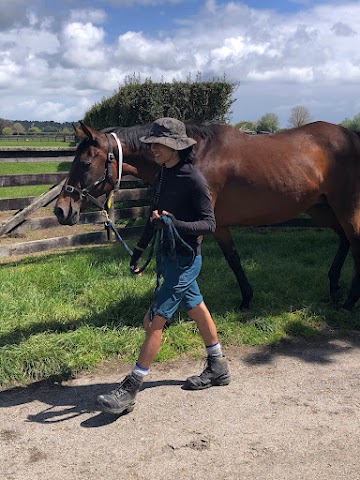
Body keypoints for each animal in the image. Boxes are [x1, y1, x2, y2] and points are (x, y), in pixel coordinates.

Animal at [54, 120, 360, 314]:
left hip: (346, 208)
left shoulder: (195, 223)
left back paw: (348, 304)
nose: (61, 210)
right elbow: (234, 260)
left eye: (85, 163)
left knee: (354, 242)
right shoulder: (218, 225)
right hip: (322, 208)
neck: (192, 156)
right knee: (345, 241)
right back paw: (334, 288)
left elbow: (186, 263)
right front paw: (246, 300)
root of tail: (352, 137)